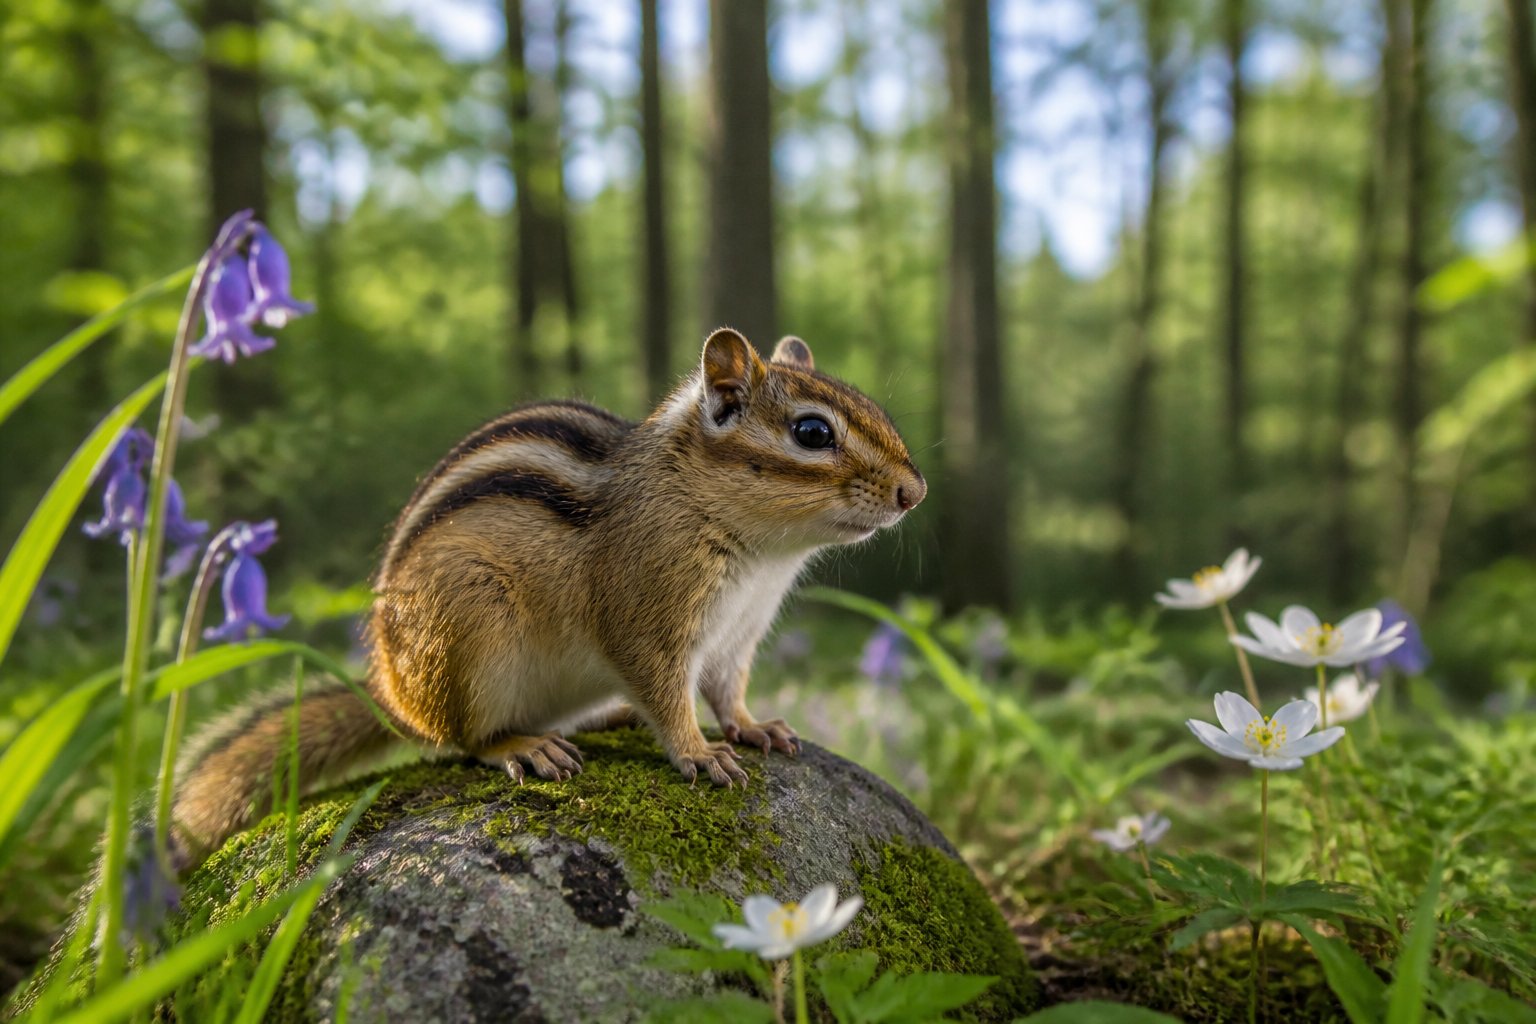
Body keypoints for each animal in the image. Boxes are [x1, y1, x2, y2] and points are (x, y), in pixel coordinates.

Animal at [170, 328, 926, 863]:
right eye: (812, 432)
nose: (914, 493)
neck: (762, 555)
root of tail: (391, 693)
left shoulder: (736, 637)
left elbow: (725, 691)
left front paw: (753, 726)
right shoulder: (645, 618)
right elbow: (667, 693)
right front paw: (699, 752)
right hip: (469, 636)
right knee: (464, 739)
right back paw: (525, 746)